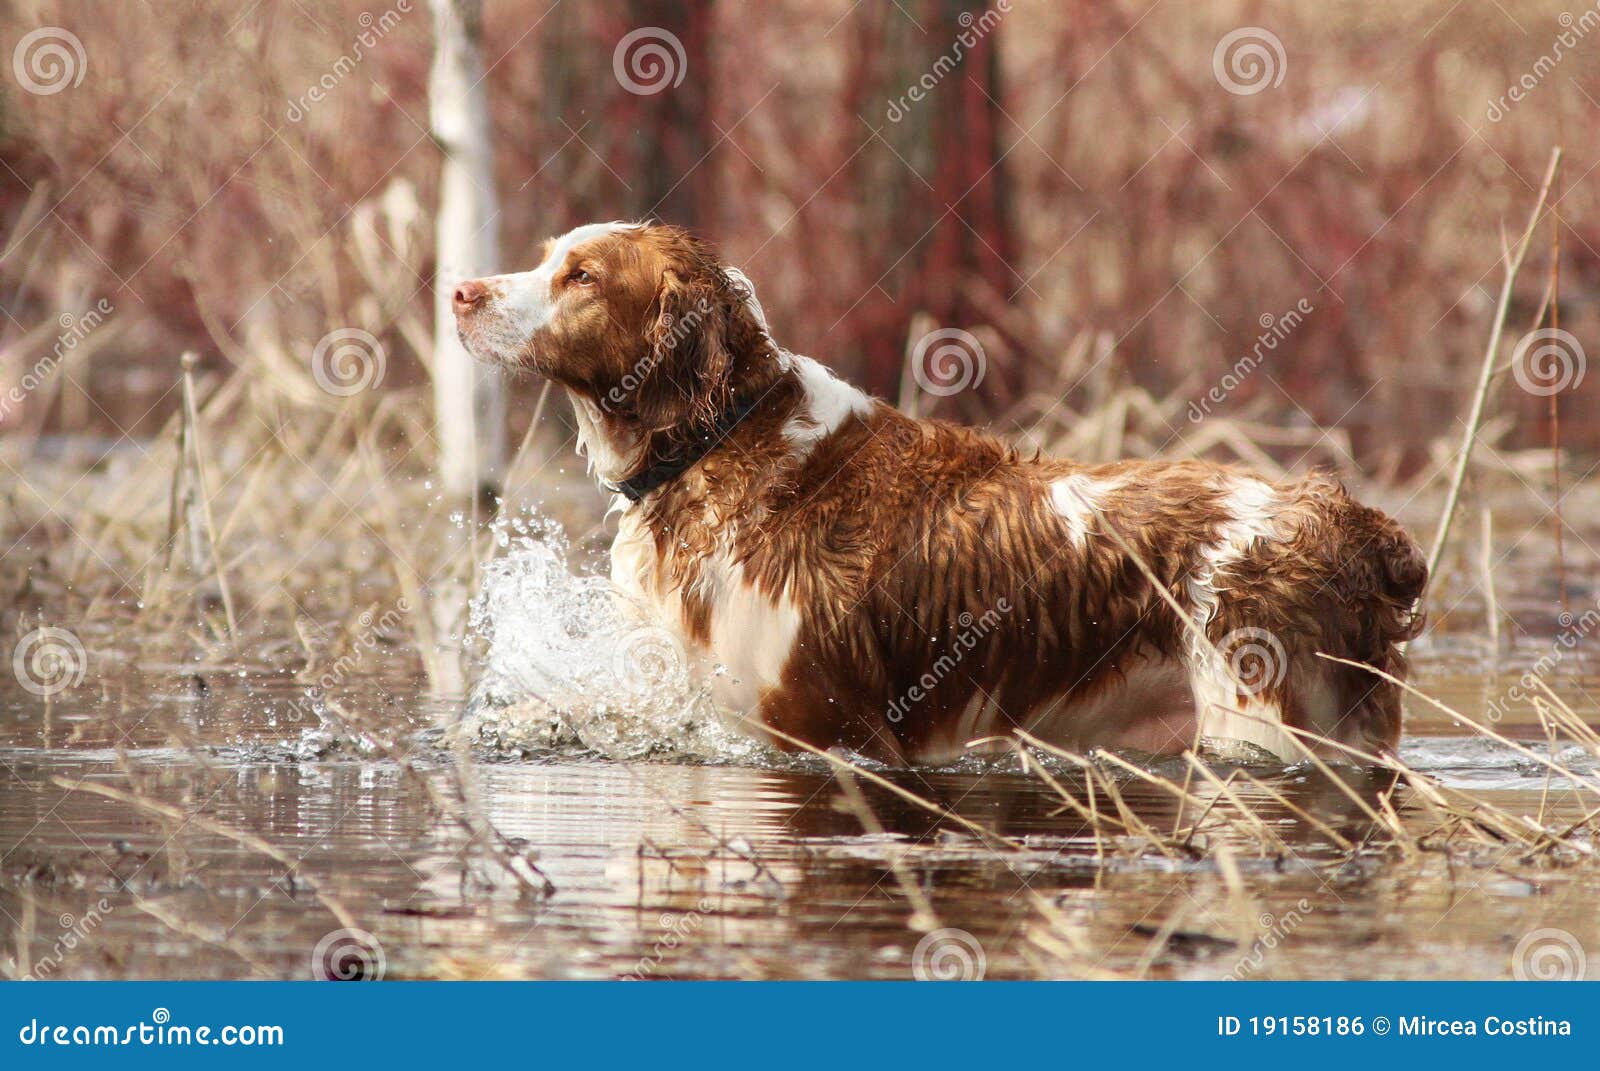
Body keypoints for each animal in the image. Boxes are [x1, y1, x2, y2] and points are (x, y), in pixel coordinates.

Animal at [454, 220, 1427, 765]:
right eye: (545, 260)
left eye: (582, 276)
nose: (460, 290)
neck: (719, 441)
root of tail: (1353, 521)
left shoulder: (825, 727)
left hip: (1265, 718)